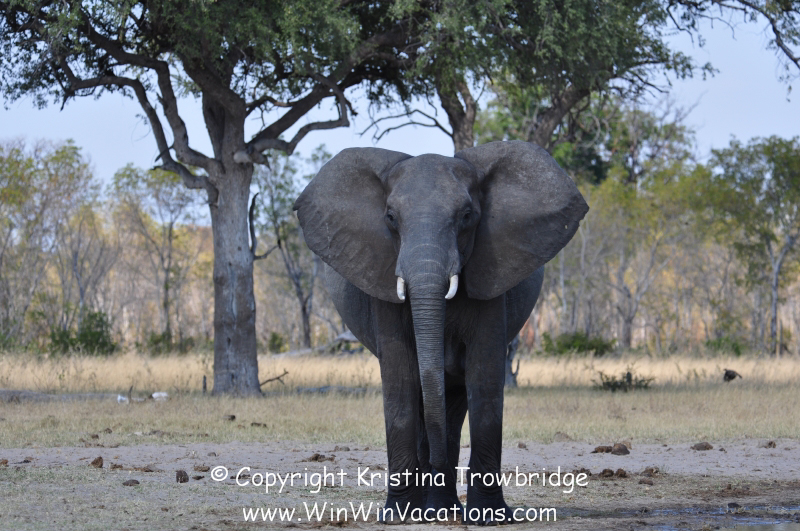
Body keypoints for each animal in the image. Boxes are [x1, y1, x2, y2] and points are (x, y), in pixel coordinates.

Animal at [294, 140, 588, 524]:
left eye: (466, 216)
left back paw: (441, 509)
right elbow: (401, 379)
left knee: (454, 401)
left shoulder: (490, 274)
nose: (433, 464)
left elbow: (484, 378)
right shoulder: (383, 282)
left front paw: (489, 517)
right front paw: (398, 516)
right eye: (390, 217)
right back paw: (429, 509)